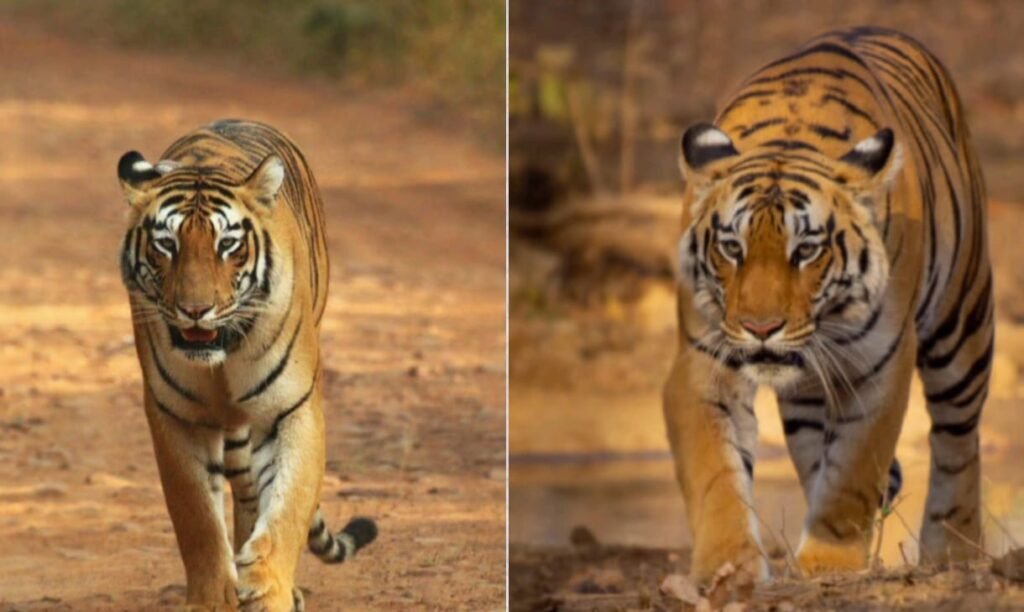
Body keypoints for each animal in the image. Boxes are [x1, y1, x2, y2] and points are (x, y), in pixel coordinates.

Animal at [118, 119, 377, 611]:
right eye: (166, 245)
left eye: (228, 245)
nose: (195, 310)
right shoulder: (174, 416)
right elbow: (196, 517)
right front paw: (211, 596)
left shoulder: (291, 408)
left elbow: (288, 509)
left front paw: (270, 589)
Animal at [663, 26, 991, 586]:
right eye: (732, 247)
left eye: (806, 250)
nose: (761, 328)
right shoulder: (704, 361)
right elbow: (716, 473)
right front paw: (728, 567)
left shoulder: (879, 366)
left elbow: (853, 473)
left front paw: (828, 562)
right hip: (808, 397)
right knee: (815, 449)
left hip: (962, 325)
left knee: (957, 437)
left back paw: (955, 549)